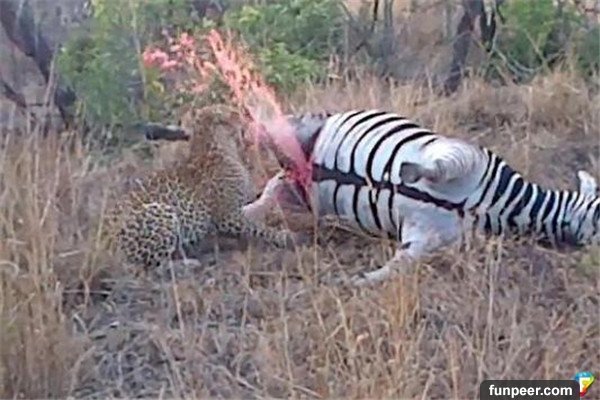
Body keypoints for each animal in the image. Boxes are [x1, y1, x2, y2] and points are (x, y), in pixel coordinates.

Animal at [104, 104, 300, 270]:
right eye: (233, 113)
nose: (246, 116)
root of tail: (107, 241)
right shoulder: (226, 217)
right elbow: (259, 228)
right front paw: (284, 236)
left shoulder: (236, 209)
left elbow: (259, 205)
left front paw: (278, 180)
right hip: (161, 211)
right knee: (151, 266)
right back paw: (189, 264)